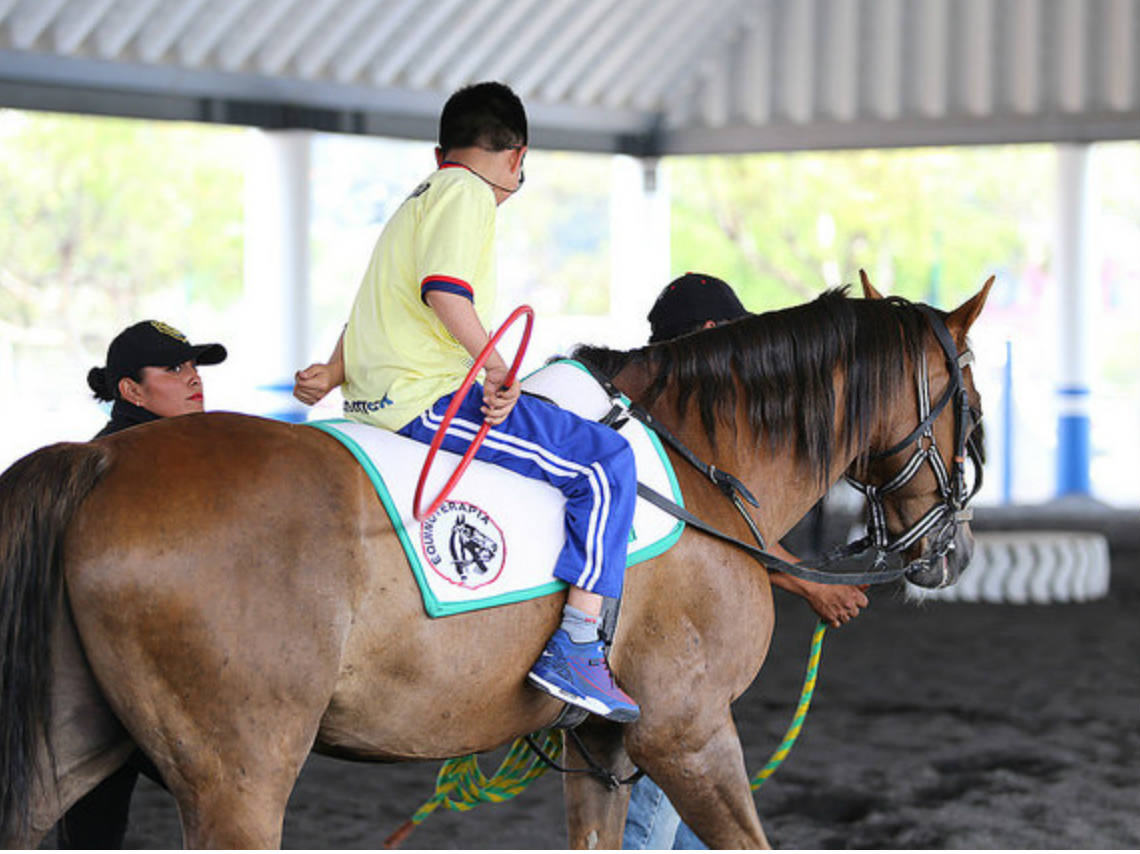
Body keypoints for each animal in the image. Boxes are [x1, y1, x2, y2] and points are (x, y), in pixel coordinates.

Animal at [0, 277, 991, 848]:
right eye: (970, 399)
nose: (951, 550)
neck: (698, 460)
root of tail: (99, 462)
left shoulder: (601, 743)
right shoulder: (689, 731)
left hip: (72, 743)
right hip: (237, 779)